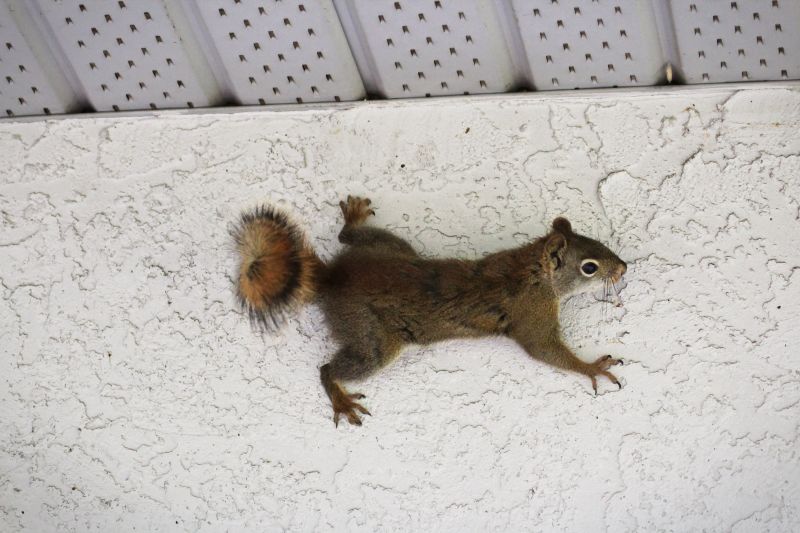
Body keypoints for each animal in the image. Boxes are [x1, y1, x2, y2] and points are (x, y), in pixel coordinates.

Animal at [233, 196, 628, 426]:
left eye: (599, 243)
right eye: (589, 267)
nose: (623, 268)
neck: (531, 269)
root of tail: (333, 278)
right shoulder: (531, 315)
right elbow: (544, 350)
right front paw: (592, 367)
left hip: (391, 247)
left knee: (348, 239)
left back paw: (354, 219)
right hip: (372, 338)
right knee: (329, 368)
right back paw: (341, 399)